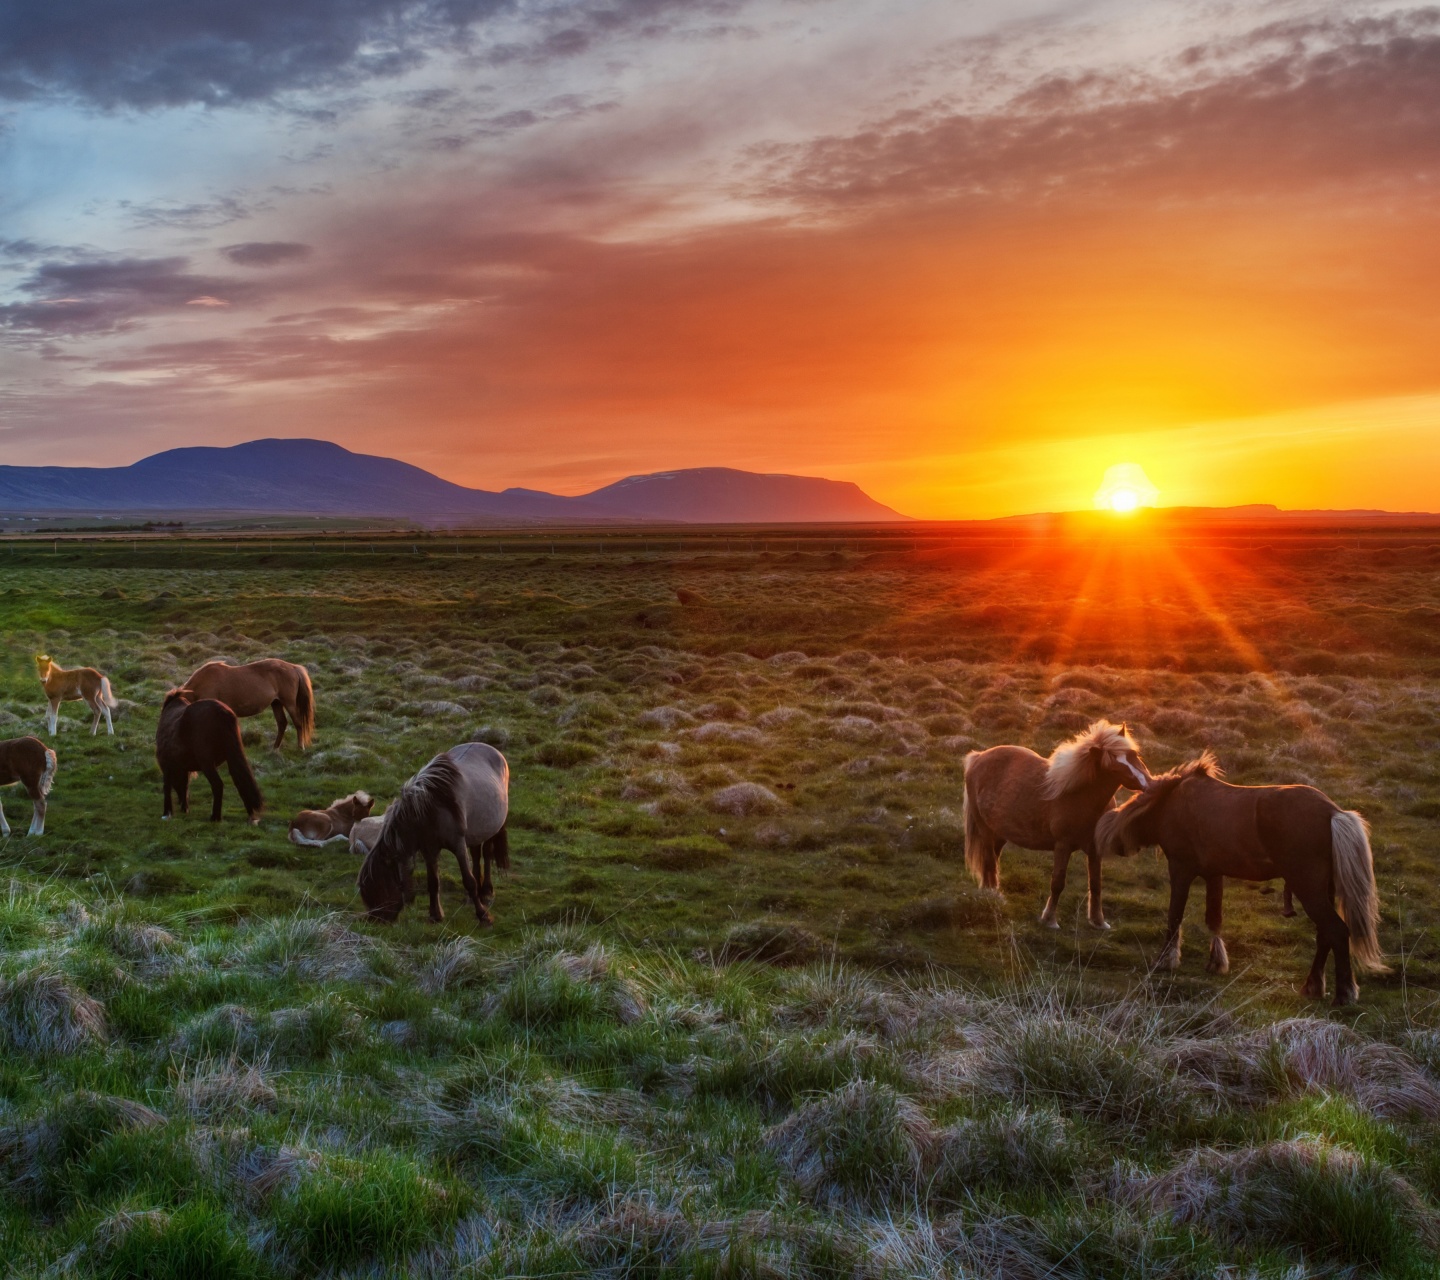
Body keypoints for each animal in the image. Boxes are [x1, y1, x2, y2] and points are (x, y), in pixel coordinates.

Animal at [154, 685, 264, 823]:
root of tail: (222, 712)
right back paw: (251, 814)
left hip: (207, 763)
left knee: (218, 784)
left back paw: (215, 817)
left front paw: (167, 812)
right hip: (232, 757)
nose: (181, 805)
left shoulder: (166, 764)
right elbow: (185, 785)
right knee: (241, 779)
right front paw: (184, 808)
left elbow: (167, 787)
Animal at [180, 659, 315, 748]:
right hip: (276, 703)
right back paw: (275, 748)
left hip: (289, 703)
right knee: (282, 723)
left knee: (298, 723)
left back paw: (300, 747)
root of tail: (293, 667)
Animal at [357, 737, 509, 927]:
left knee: (487, 854)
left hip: (491, 829)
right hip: (476, 831)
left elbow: (469, 881)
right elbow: (433, 883)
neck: (429, 810)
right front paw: (435, 915)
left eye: (380, 886)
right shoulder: (429, 850)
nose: (375, 921)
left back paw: (487, 891)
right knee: (476, 854)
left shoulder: (458, 846)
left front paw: (483, 916)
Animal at [961, 719, 1152, 927]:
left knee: (992, 861)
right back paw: (994, 898)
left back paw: (989, 894)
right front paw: (1049, 919)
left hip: (1000, 833)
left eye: (1134, 755)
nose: (1149, 785)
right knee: (989, 862)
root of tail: (978, 757)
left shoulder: (1095, 849)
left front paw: (1098, 921)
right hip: (985, 829)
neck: (1081, 796)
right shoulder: (1063, 846)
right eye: (1113, 768)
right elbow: (1058, 882)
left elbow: (1096, 884)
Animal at [1094, 748, 1388, 1007]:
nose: (1117, 847)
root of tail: (1333, 812)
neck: (1170, 803)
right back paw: (1313, 987)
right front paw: (1216, 962)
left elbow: (1174, 917)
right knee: (1325, 934)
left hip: (1308, 888)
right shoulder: (1214, 874)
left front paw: (1166, 961)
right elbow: (1214, 920)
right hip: (1323, 889)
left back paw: (1344, 994)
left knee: (1336, 931)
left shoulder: (1180, 869)